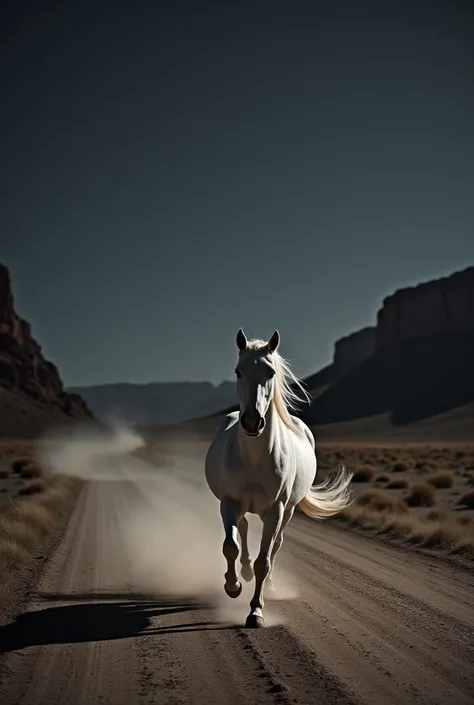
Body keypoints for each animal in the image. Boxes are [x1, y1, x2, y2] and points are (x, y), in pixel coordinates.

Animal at [204, 328, 352, 628]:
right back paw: (243, 573)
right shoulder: (229, 502)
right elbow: (230, 546)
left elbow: (265, 560)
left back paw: (268, 584)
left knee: (275, 546)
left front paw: (256, 611)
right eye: (238, 371)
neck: (255, 458)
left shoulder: (276, 510)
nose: (252, 422)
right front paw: (233, 585)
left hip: (289, 511)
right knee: (243, 530)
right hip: (242, 507)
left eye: (270, 372)